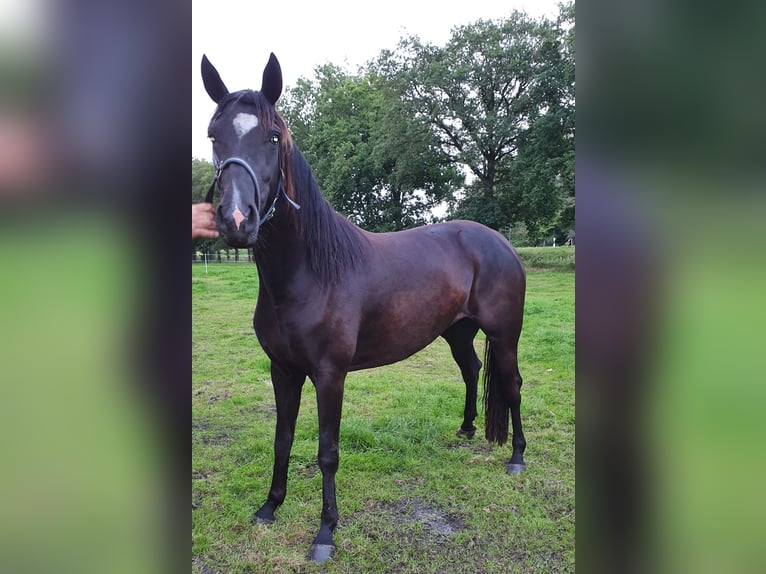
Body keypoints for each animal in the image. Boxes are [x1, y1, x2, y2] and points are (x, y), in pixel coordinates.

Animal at [202, 51, 528, 564]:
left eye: (272, 137)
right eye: (215, 136)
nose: (237, 221)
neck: (311, 273)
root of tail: (501, 242)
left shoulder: (329, 374)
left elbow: (327, 451)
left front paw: (325, 533)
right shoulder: (282, 369)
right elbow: (282, 439)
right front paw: (269, 507)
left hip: (504, 334)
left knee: (512, 385)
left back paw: (516, 457)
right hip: (457, 331)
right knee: (473, 370)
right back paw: (466, 430)